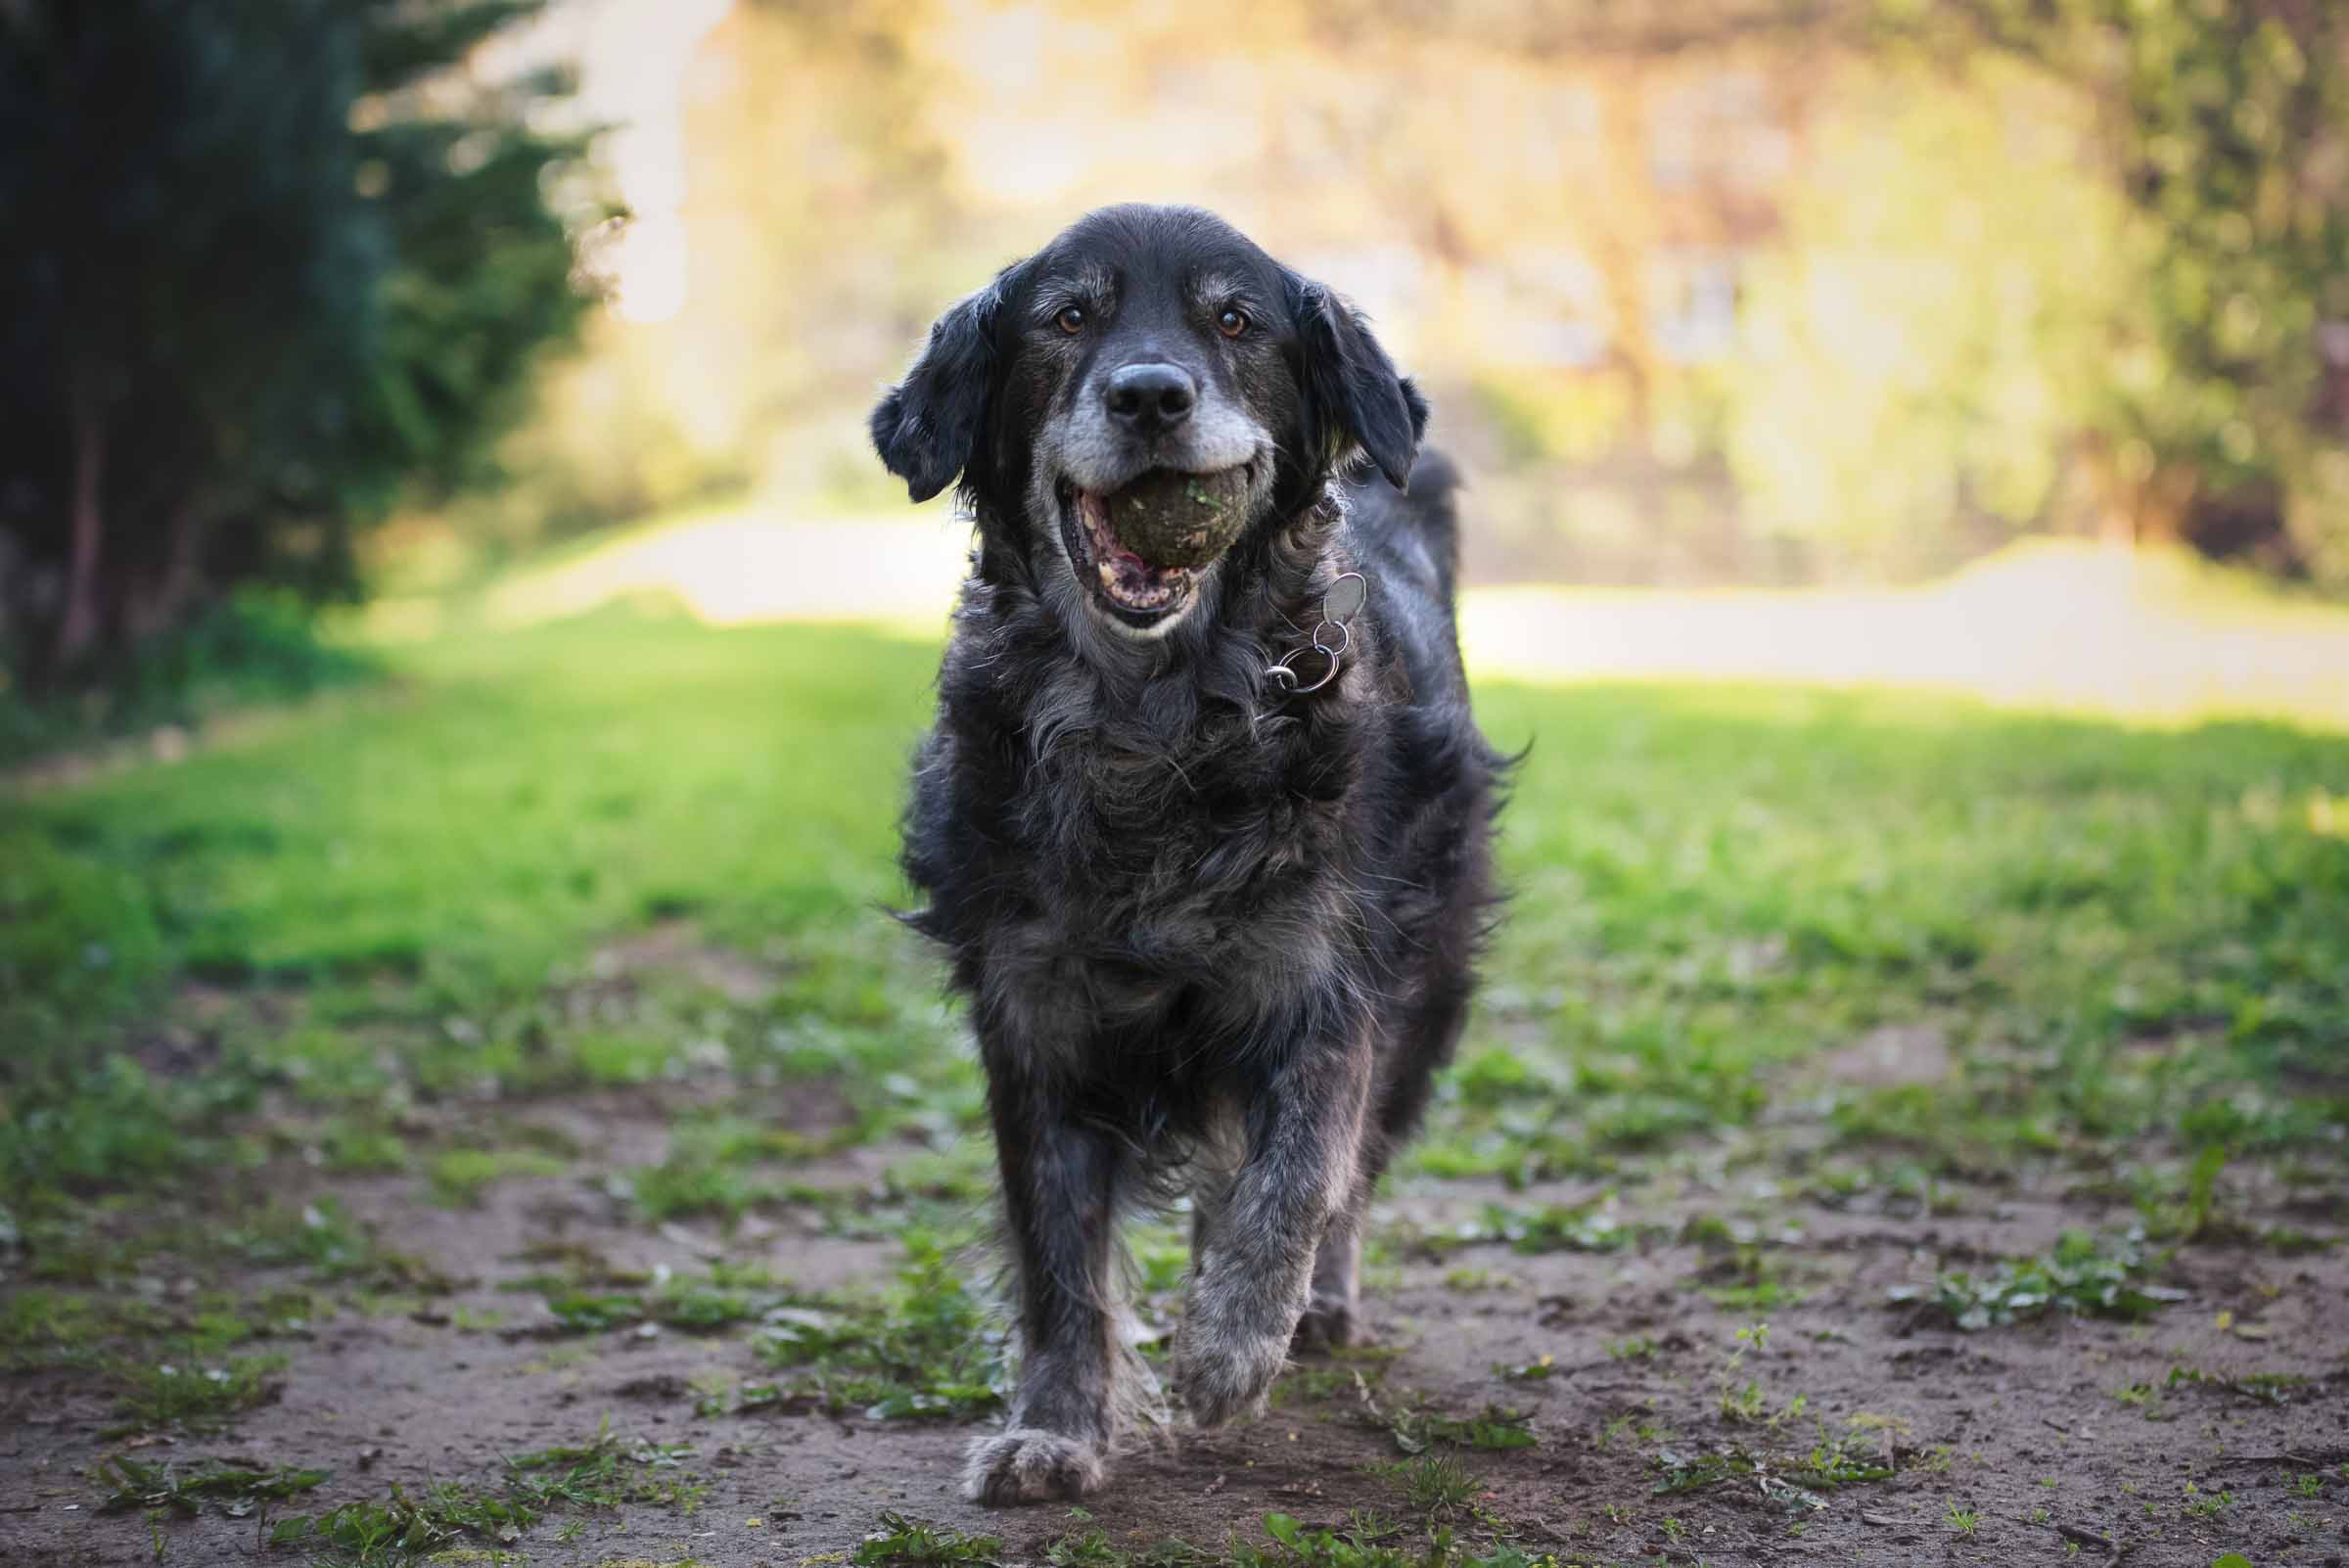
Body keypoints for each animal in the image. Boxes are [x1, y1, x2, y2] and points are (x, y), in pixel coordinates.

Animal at [871, 204, 1505, 1506]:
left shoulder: (1325, 985)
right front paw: (1055, 1428)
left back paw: (1309, 1306)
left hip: (1428, 984)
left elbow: (1300, 1175)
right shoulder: (1035, 1020)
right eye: (1068, 316)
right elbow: (1059, 1258)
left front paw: (1231, 1346)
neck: (1152, 726)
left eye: (1236, 320)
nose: (1152, 395)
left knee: (1346, 1167)